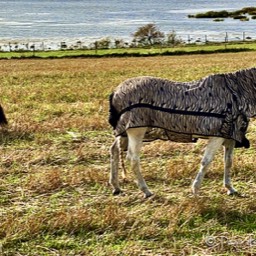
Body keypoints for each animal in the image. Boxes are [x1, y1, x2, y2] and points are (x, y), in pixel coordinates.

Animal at [108, 67, 256, 198]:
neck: (236, 93)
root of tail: (116, 92)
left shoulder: (230, 137)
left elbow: (228, 161)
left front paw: (230, 188)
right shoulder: (217, 137)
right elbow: (206, 161)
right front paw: (195, 190)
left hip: (125, 133)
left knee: (114, 150)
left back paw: (116, 187)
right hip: (136, 131)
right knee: (133, 159)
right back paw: (146, 191)